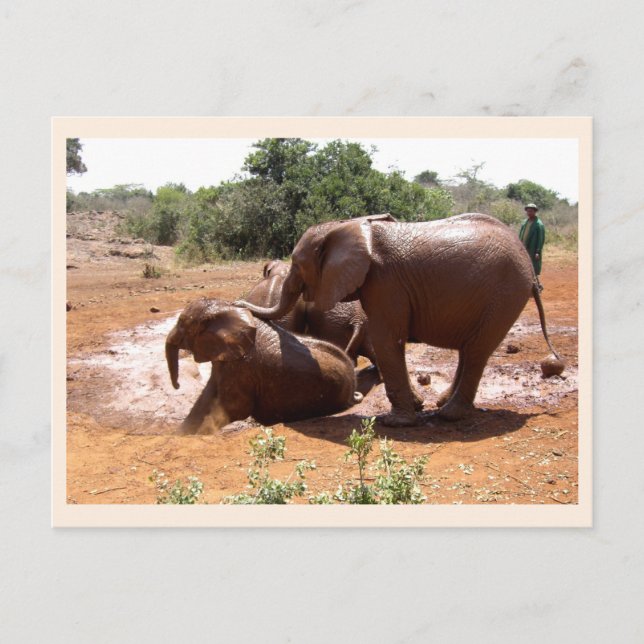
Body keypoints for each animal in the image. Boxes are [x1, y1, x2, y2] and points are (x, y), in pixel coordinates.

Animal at [165, 298, 363, 434]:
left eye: (182, 324)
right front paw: (180, 434)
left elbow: (235, 407)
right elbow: (207, 396)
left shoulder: (242, 366)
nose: (177, 385)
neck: (227, 308)